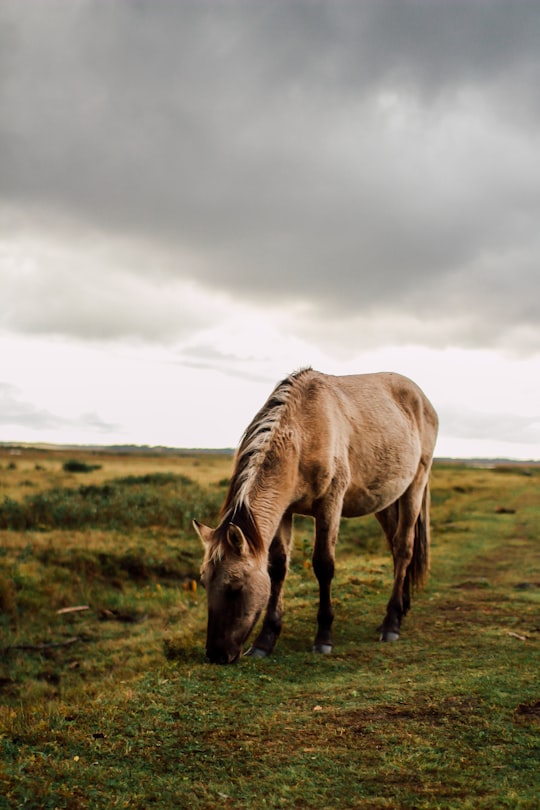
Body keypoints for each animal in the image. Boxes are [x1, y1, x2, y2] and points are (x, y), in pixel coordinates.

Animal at [194, 366, 438, 664]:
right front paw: (265, 640)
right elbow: (278, 567)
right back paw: (401, 609)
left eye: (235, 587)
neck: (303, 433)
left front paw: (323, 637)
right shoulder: (284, 511)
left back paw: (391, 623)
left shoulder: (329, 505)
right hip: (386, 501)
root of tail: (422, 399)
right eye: (204, 582)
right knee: (395, 546)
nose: (216, 654)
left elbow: (323, 565)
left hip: (415, 486)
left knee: (404, 548)